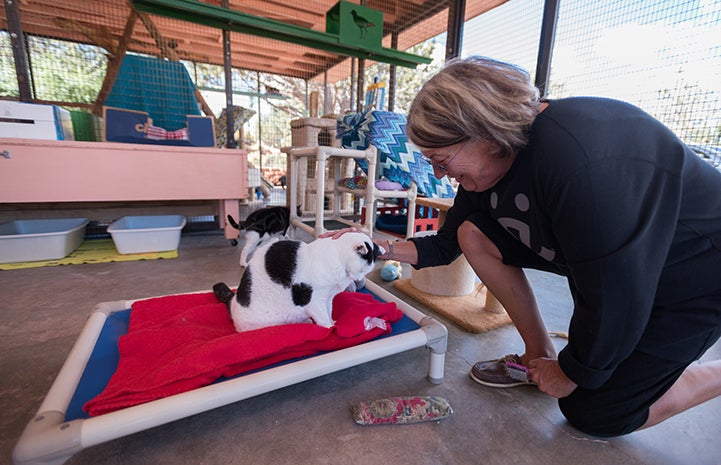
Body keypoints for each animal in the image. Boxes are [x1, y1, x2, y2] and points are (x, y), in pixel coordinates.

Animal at [212, 232, 382, 330]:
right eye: (366, 268)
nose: (360, 279)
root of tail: (233, 302)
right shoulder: (315, 300)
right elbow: (323, 317)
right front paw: (330, 328)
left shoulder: (327, 298)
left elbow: (328, 311)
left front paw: (333, 323)